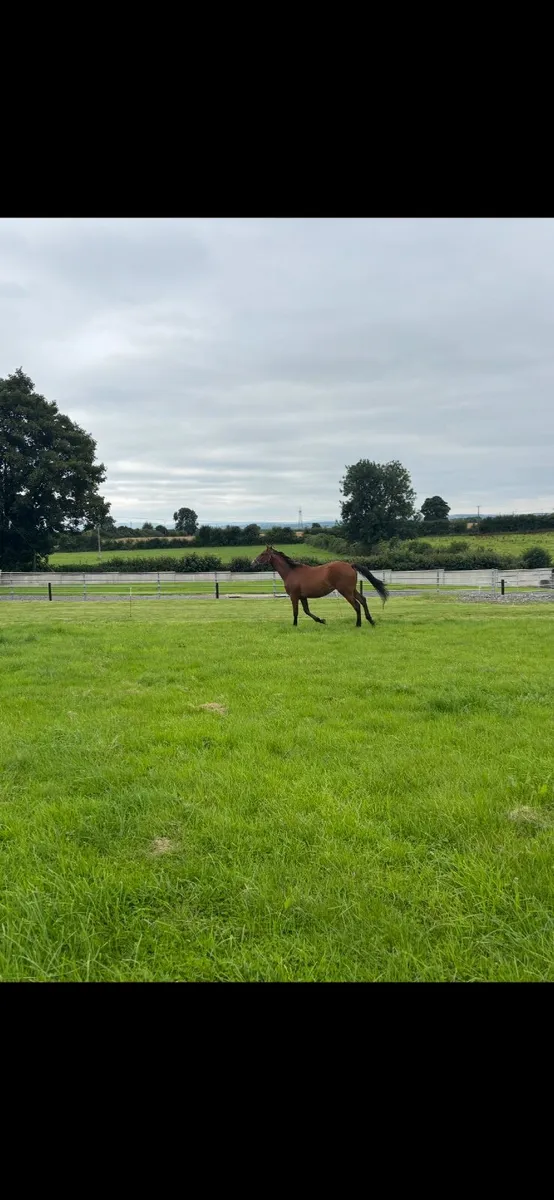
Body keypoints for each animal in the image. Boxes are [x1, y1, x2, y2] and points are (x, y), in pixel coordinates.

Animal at [251, 546, 389, 627]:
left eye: (263, 554)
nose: (252, 563)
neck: (291, 572)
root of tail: (350, 565)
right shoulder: (303, 597)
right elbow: (307, 611)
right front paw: (322, 620)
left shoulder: (294, 596)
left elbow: (296, 612)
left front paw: (294, 625)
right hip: (352, 590)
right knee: (363, 600)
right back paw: (371, 621)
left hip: (345, 591)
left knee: (357, 605)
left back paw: (358, 624)